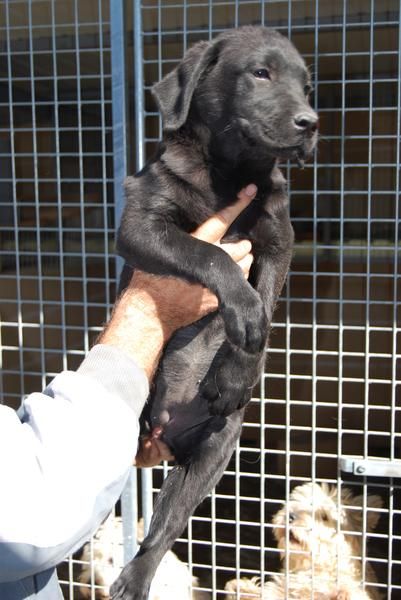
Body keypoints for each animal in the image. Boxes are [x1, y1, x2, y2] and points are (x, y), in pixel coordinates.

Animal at [111, 24, 318, 600]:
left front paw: (237, 369)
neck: (229, 171)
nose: (311, 122)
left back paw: (136, 579)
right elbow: (211, 254)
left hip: (215, 449)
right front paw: (240, 310)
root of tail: (161, 431)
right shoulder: (142, 225)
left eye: (307, 86)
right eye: (261, 73)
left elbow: (264, 304)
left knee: (163, 528)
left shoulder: (279, 240)